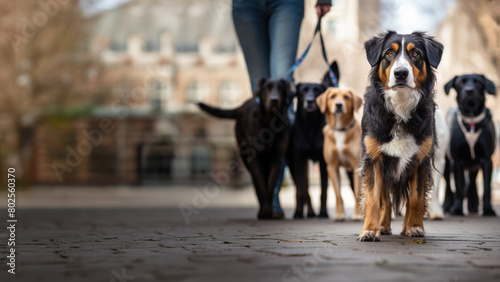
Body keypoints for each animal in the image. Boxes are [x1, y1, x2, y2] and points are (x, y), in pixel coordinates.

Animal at [198, 78, 292, 219]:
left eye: (281, 89)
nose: (274, 99)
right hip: (245, 157)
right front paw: (264, 212)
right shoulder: (255, 160)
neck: (268, 123)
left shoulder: (276, 160)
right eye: (266, 88)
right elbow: (261, 186)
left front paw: (269, 210)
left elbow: (270, 187)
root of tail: (242, 106)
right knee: (257, 183)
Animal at [286, 61, 344, 219]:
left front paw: (323, 212)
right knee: (302, 189)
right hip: (293, 165)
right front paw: (298, 212)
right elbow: (301, 190)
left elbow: (323, 191)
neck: (310, 126)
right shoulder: (299, 160)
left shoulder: (324, 162)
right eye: (303, 91)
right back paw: (308, 211)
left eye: (317, 91)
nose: (310, 101)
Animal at [316, 88, 364, 220]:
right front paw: (339, 215)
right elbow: (338, 195)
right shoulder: (332, 167)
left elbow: (357, 193)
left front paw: (357, 215)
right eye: (332, 96)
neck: (341, 130)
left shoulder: (356, 167)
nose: (338, 105)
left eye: (346, 97)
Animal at [358, 31, 444, 242]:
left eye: (416, 54)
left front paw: (414, 227)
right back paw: (383, 226)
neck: (400, 107)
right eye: (389, 53)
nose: (401, 73)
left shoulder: (420, 160)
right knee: (385, 199)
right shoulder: (373, 158)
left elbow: (416, 198)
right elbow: (373, 199)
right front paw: (370, 230)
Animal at [446, 74, 496, 216]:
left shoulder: (487, 161)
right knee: (448, 185)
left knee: (472, 181)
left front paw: (488, 209)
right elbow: (459, 186)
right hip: (447, 163)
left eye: (478, 82)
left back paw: (473, 205)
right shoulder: (457, 161)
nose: (469, 90)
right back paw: (447, 205)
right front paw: (457, 209)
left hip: (474, 164)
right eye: (461, 83)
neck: (472, 122)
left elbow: (486, 189)